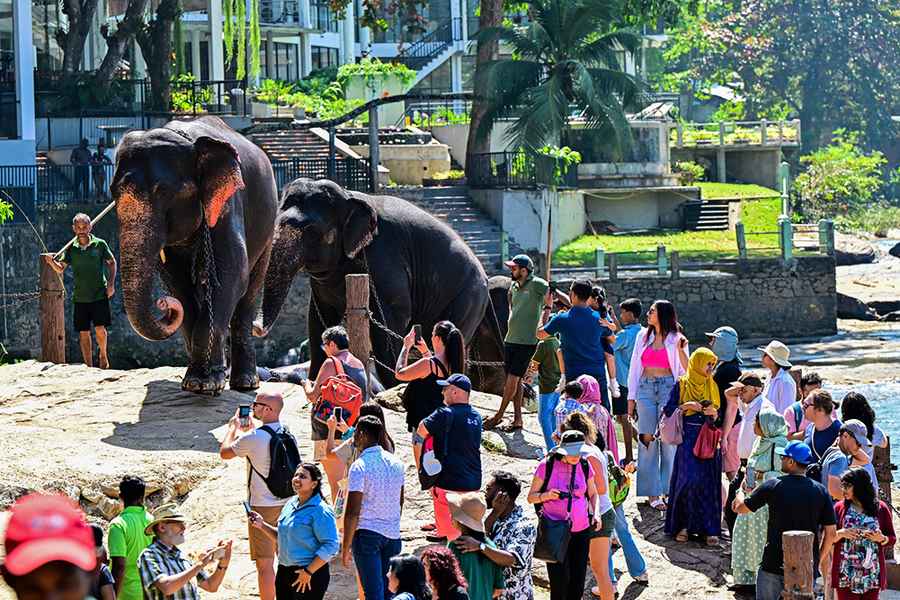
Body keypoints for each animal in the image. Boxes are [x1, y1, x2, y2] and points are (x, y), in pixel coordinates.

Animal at [114, 116, 280, 394]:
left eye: (163, 191)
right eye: (112, 194)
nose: (163, 305)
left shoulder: (227, 202)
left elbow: (233, 274)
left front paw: (203, 384)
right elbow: (178, 284)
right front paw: (196, 381)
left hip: (269, 225)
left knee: (250, 289)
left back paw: (245, 382)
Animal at [255, 178, 506, 394]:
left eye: (310, 230)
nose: (256, 328)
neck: (349, 195)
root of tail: (485, 275)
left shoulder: (384, 260)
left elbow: (391, 318)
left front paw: (393, 387)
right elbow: (317, 319)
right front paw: (318, 378)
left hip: (468, 298)